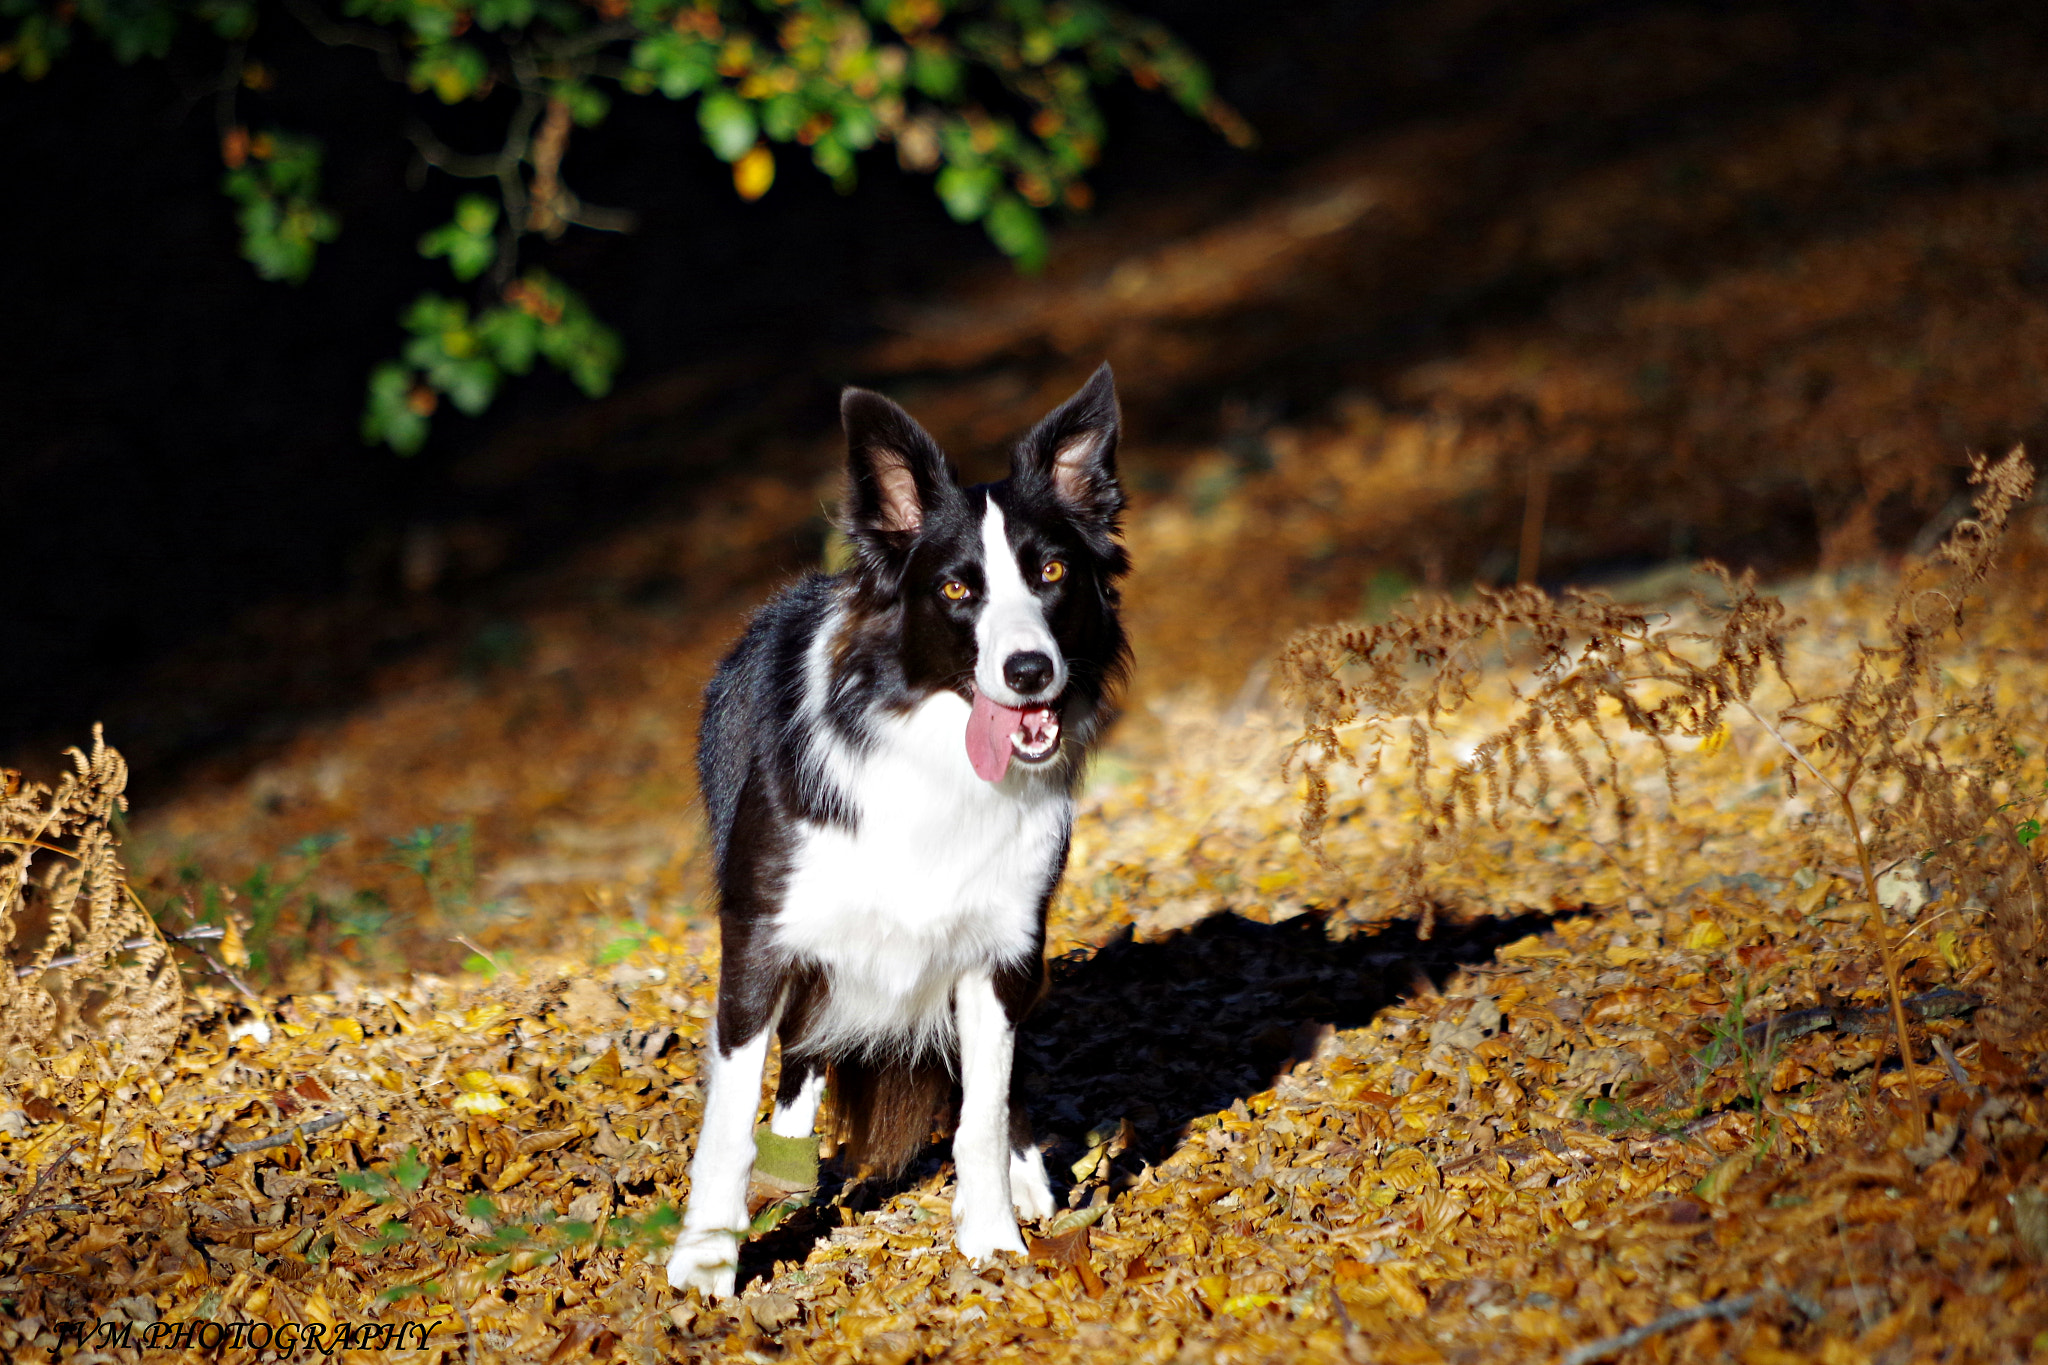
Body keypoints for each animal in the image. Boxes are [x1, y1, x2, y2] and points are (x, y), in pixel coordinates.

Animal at [667, 366, 1122, 1301]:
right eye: (955, 590)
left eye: (1053, 571)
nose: (1030, 671)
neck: (934, 758)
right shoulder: (761, 942)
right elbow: (728, 1119)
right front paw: (706, 1262)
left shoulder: (1002, 952)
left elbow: (981, 1112)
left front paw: (993, 1238)